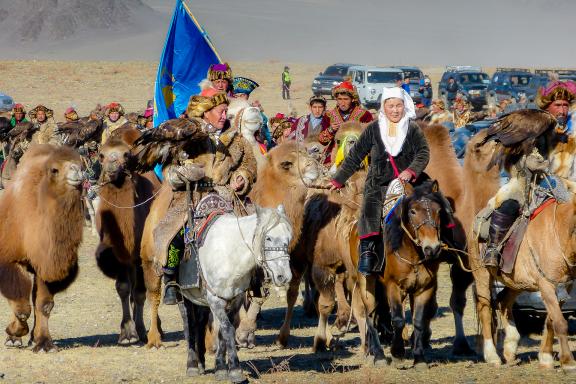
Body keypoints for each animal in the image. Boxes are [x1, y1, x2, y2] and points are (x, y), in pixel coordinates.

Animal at [178, 204, 292, 380]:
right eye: (268, 238)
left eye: (289, 237)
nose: (284, 276)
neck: (229, 254)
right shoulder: (215, 300)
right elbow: (228, 329)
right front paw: (235, 370)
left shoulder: (234, 299)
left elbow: (222, 332)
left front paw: (221, 368)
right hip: (184, 296)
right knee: (189, 324)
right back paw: (192, 365)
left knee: (200, 324)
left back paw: (202, 364)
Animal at [380, 180, 452, 368]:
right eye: (413, 211)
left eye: (438, 211)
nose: (432, 248)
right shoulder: (393, 286)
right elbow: (398, 318)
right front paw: (397, 353)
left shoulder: (425, 288)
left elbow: (419, 320)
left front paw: (419, 357)